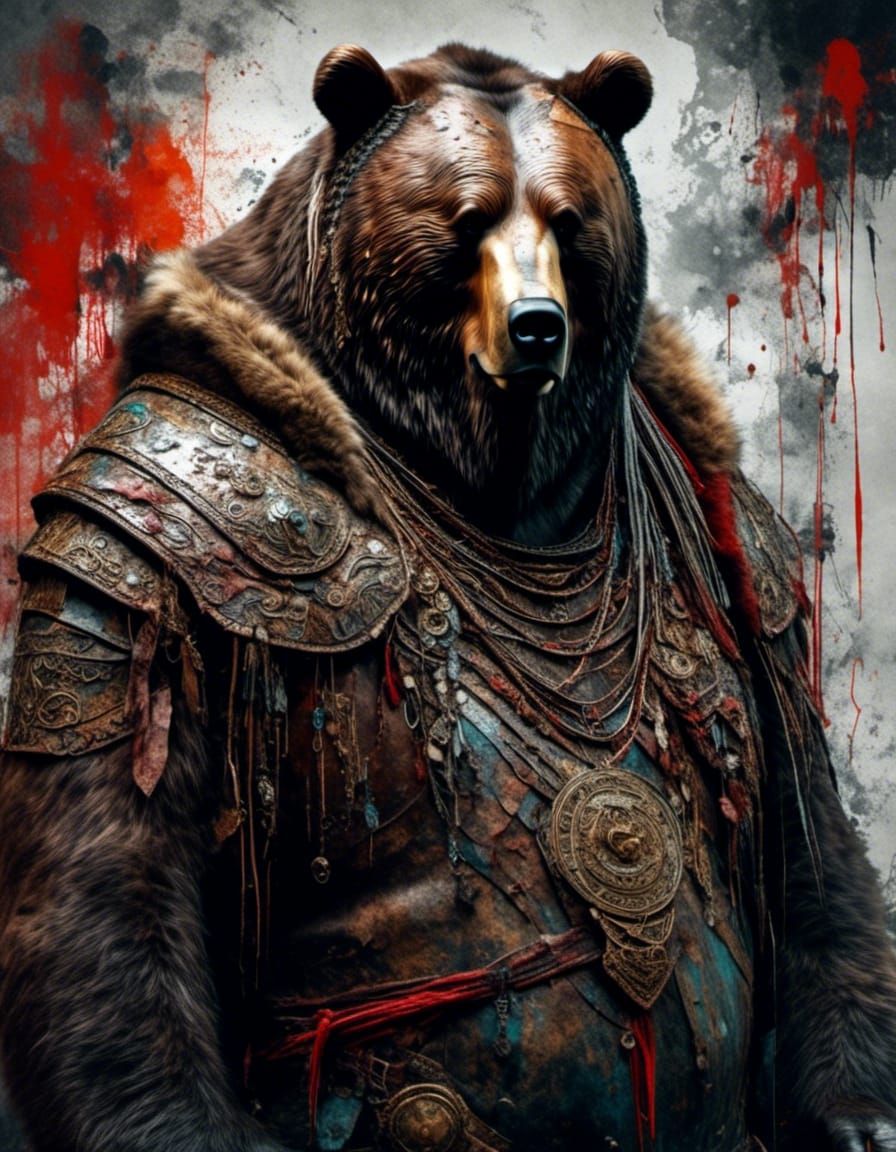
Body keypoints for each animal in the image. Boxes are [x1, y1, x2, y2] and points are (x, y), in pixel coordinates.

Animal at [2, 40, 896, 1152]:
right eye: (465, 218)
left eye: (569, 221)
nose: (537, 327)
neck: (497, 481)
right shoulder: (153, 522)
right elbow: (115, 881)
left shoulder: (736, 541)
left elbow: (801, 826)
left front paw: (854, 1113)